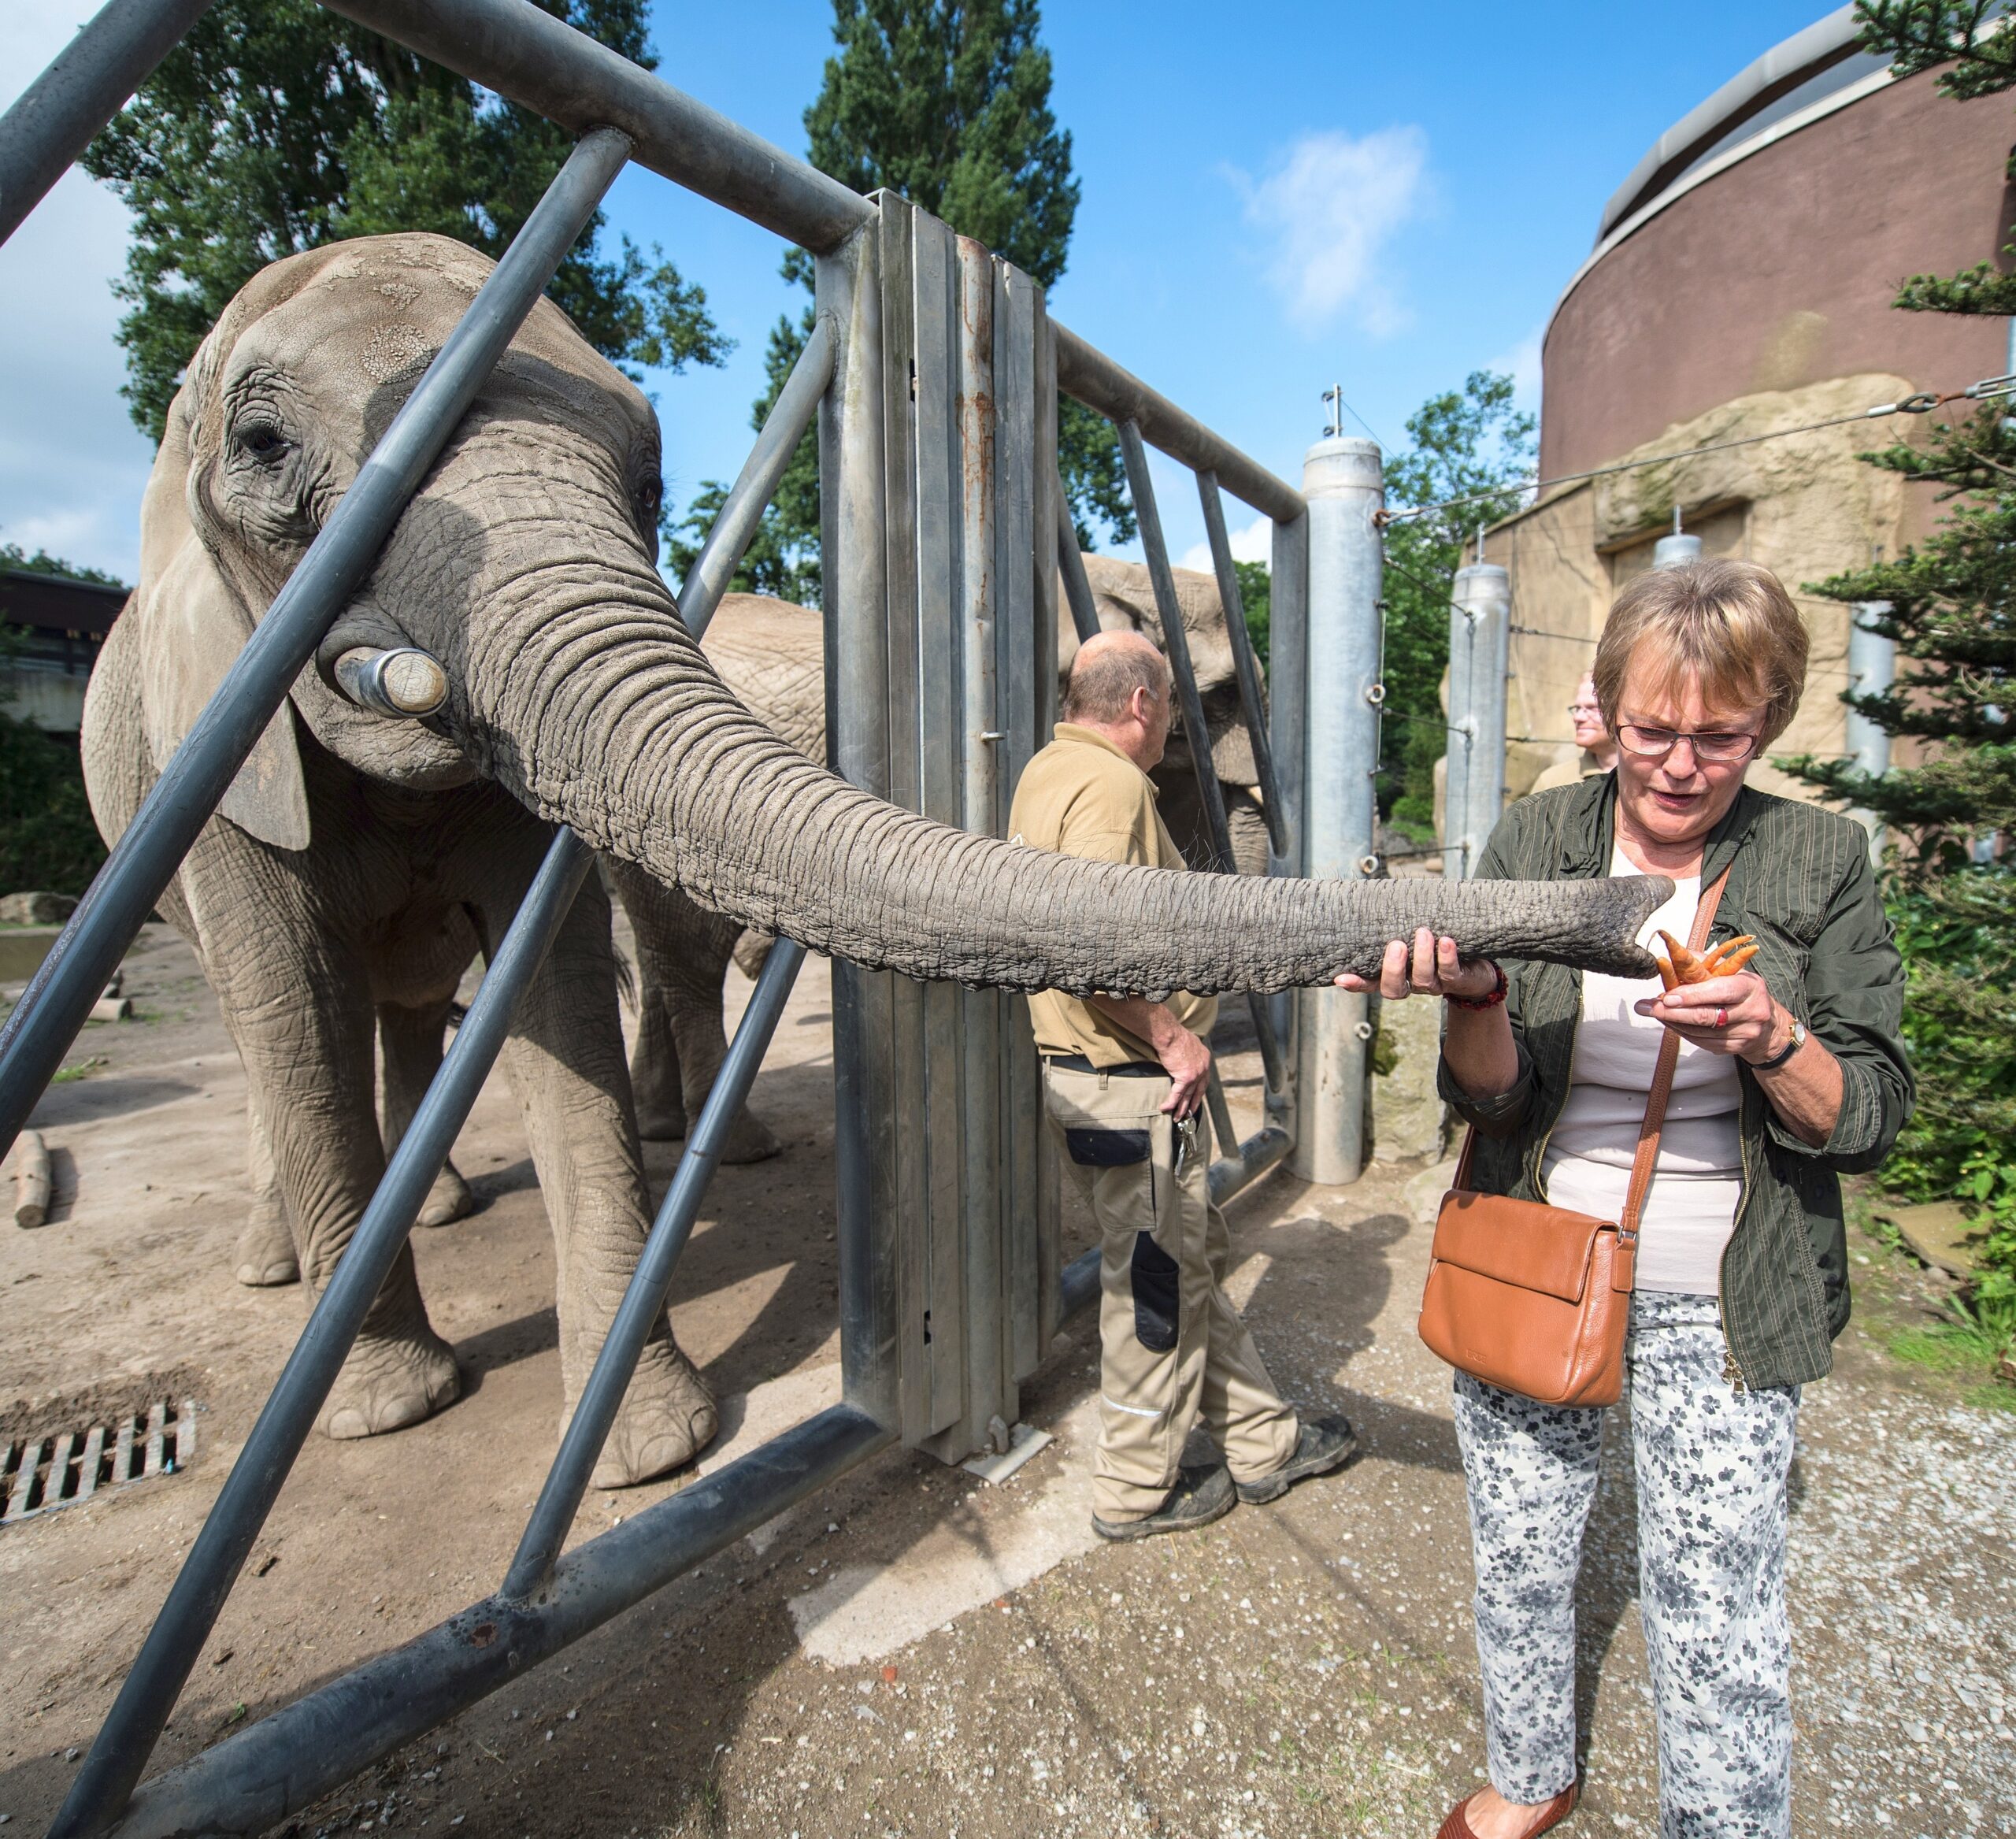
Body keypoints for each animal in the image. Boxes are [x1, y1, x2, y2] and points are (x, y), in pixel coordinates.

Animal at [78, 233, 1653, 1476]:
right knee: (340, 1005)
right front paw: (427, 1417)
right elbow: (308, 987)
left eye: (648, 474)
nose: (1638, 913)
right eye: (263, 448)